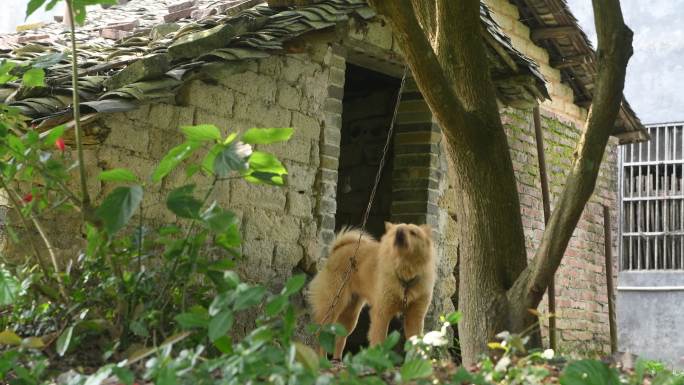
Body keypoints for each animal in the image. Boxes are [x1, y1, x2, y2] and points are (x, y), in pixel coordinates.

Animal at [308, 220, 436, 358]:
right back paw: (322, 359)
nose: (399, 232)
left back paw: (337, 360)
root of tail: (337, 249)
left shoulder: (415, 317)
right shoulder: (381, 314)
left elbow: (417, 345)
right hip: (332, 306)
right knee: (320, 335)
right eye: (395, 231)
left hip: (350, 316)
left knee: (340, 339)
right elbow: (379, 340)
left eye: (413, 232)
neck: (404, 274)